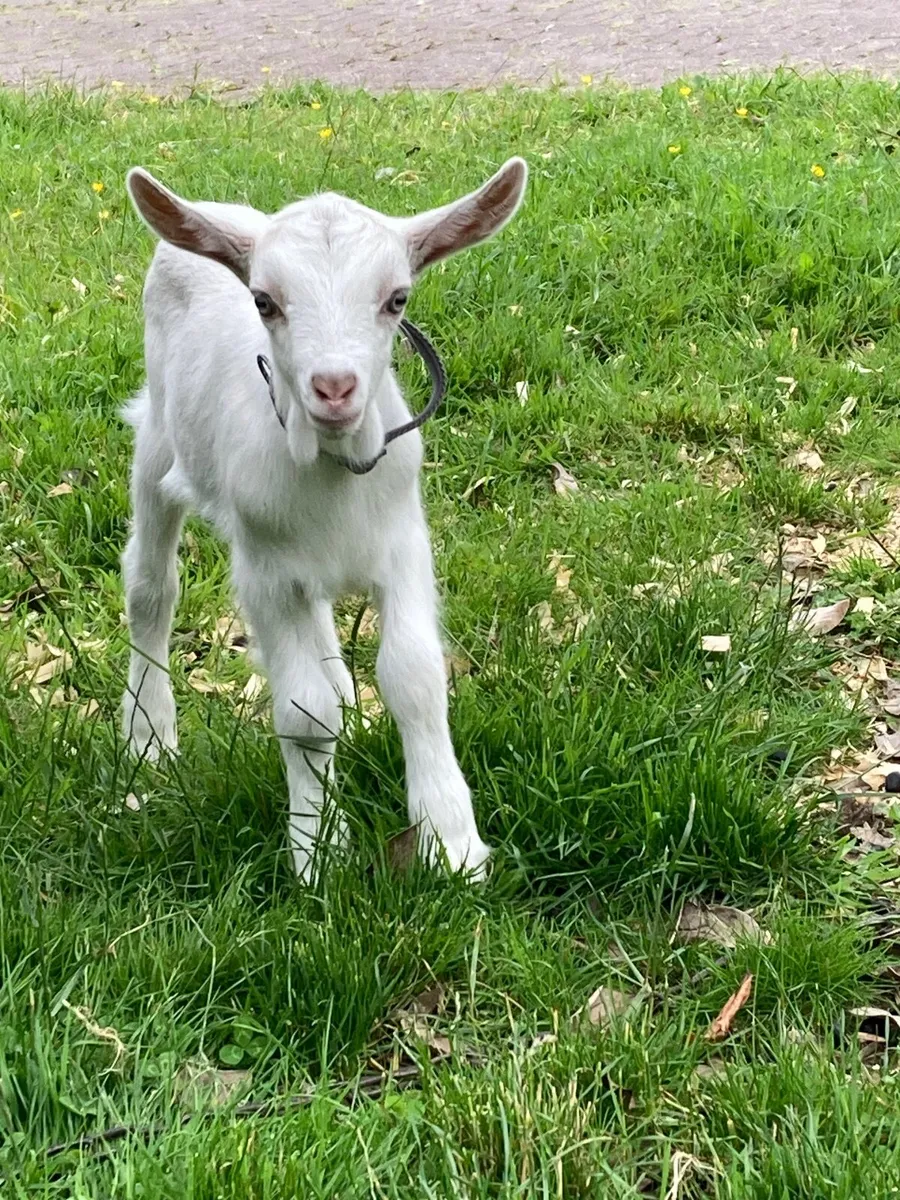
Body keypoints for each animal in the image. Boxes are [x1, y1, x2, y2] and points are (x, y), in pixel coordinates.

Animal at [121, 156, 528, 881]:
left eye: (397, 298)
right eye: (264, 301)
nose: (334, 388)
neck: (334, 469)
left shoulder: (403, 547)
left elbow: (415, 678)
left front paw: (452, 842)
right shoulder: (265, 572)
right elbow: (305, 713)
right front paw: (316, 852)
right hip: (159, 441)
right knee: (150, 587)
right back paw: (148, 738)